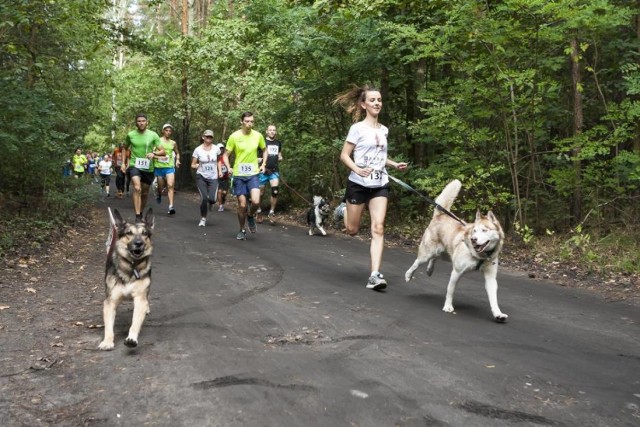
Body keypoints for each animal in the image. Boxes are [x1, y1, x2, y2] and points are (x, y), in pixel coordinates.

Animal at [99, 208, 156, 352]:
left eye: (145, 233)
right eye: (129, 233)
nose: (138, 243)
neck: (132, 266)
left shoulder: (140, 298)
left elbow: (135, 322)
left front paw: (132, 338)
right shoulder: (110, 301)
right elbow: (109, 326)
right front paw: (107, 341)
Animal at [402, 179, 508, 322]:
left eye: (484, 230)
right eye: (475, 231)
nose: (473, 239)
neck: (480, 256)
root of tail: (440, 215)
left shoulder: (490, 277)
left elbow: (494, 299)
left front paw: (498, 314)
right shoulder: (456, 272)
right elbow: (450, 290)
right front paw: (448, 306)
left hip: (445, 254)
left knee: (434, 258)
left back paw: (429, 270)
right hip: (428, 253)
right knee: (417, 262)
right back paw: (409, 274)